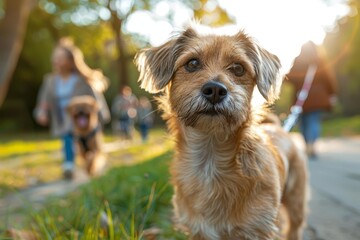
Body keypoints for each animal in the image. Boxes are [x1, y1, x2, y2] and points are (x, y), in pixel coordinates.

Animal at [135, 24, 310, 240]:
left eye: (238, 68)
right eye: (192, 63)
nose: (216, 90)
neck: (211, 160)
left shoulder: (258, 229)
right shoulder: (198, 231)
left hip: (296, 205)